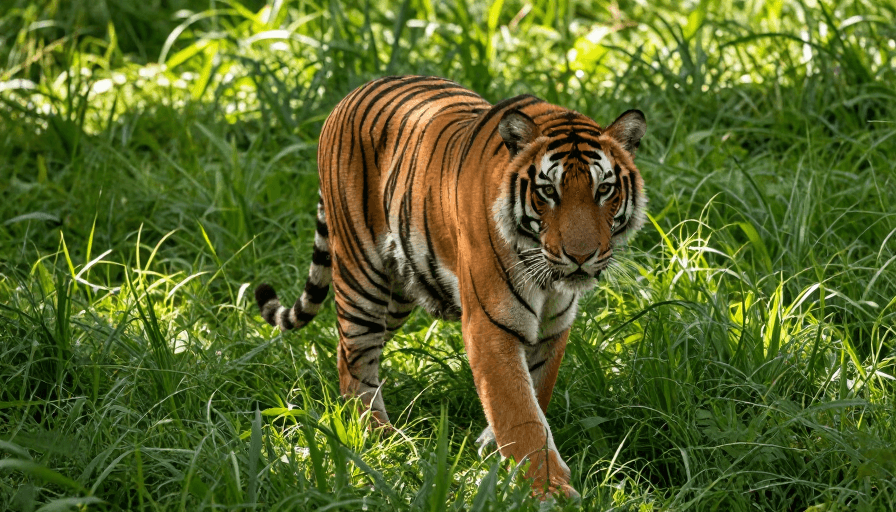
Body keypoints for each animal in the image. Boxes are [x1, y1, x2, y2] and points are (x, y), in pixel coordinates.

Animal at [255, 75, 647, 498]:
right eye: (548, 192)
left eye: (604, 190)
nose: (580, 256)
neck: (548, 277)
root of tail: (351, 93)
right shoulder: (491, 325)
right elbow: (520, 411)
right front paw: (548, 489)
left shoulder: (553, 329)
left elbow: (535, 393)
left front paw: (496, 451)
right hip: (362, 276)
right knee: (353, 356)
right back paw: (376, 437)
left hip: (399, 295)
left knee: (350, 349)